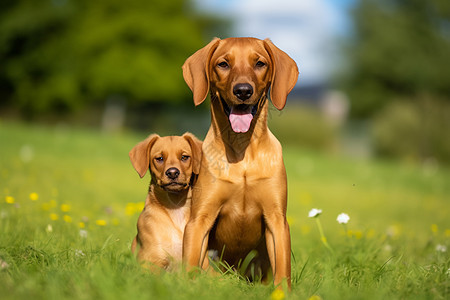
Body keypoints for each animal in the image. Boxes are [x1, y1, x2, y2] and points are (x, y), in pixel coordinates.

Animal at [183, 37, 298, 288]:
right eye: (223, 64)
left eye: (260, 63)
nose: (243, 91)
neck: (241, 150)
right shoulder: (199, 219)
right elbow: (191, 263)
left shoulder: (277, 220)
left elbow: (282, 271)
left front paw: (283, 292)